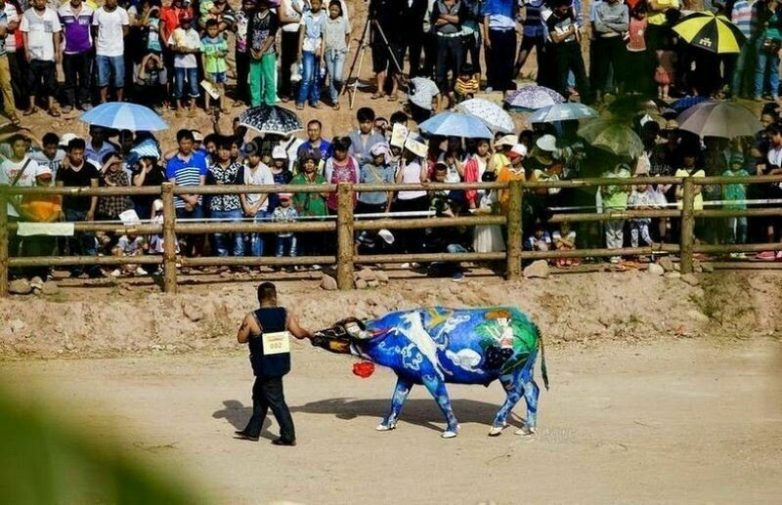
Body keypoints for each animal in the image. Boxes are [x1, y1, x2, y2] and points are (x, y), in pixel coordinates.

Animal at [310, 306, 548, 440]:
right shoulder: (405, 376)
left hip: (509, 373)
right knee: (532, 391)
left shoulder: (431, 377)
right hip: (525, 371)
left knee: (516, 393)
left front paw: (451, 429)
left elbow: (442, 401)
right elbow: (396, 401)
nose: (314, 336)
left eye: (338, 330)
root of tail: (530, 324)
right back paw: (527, 428)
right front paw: (387, 424)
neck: (395, 334)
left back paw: (497, 425)